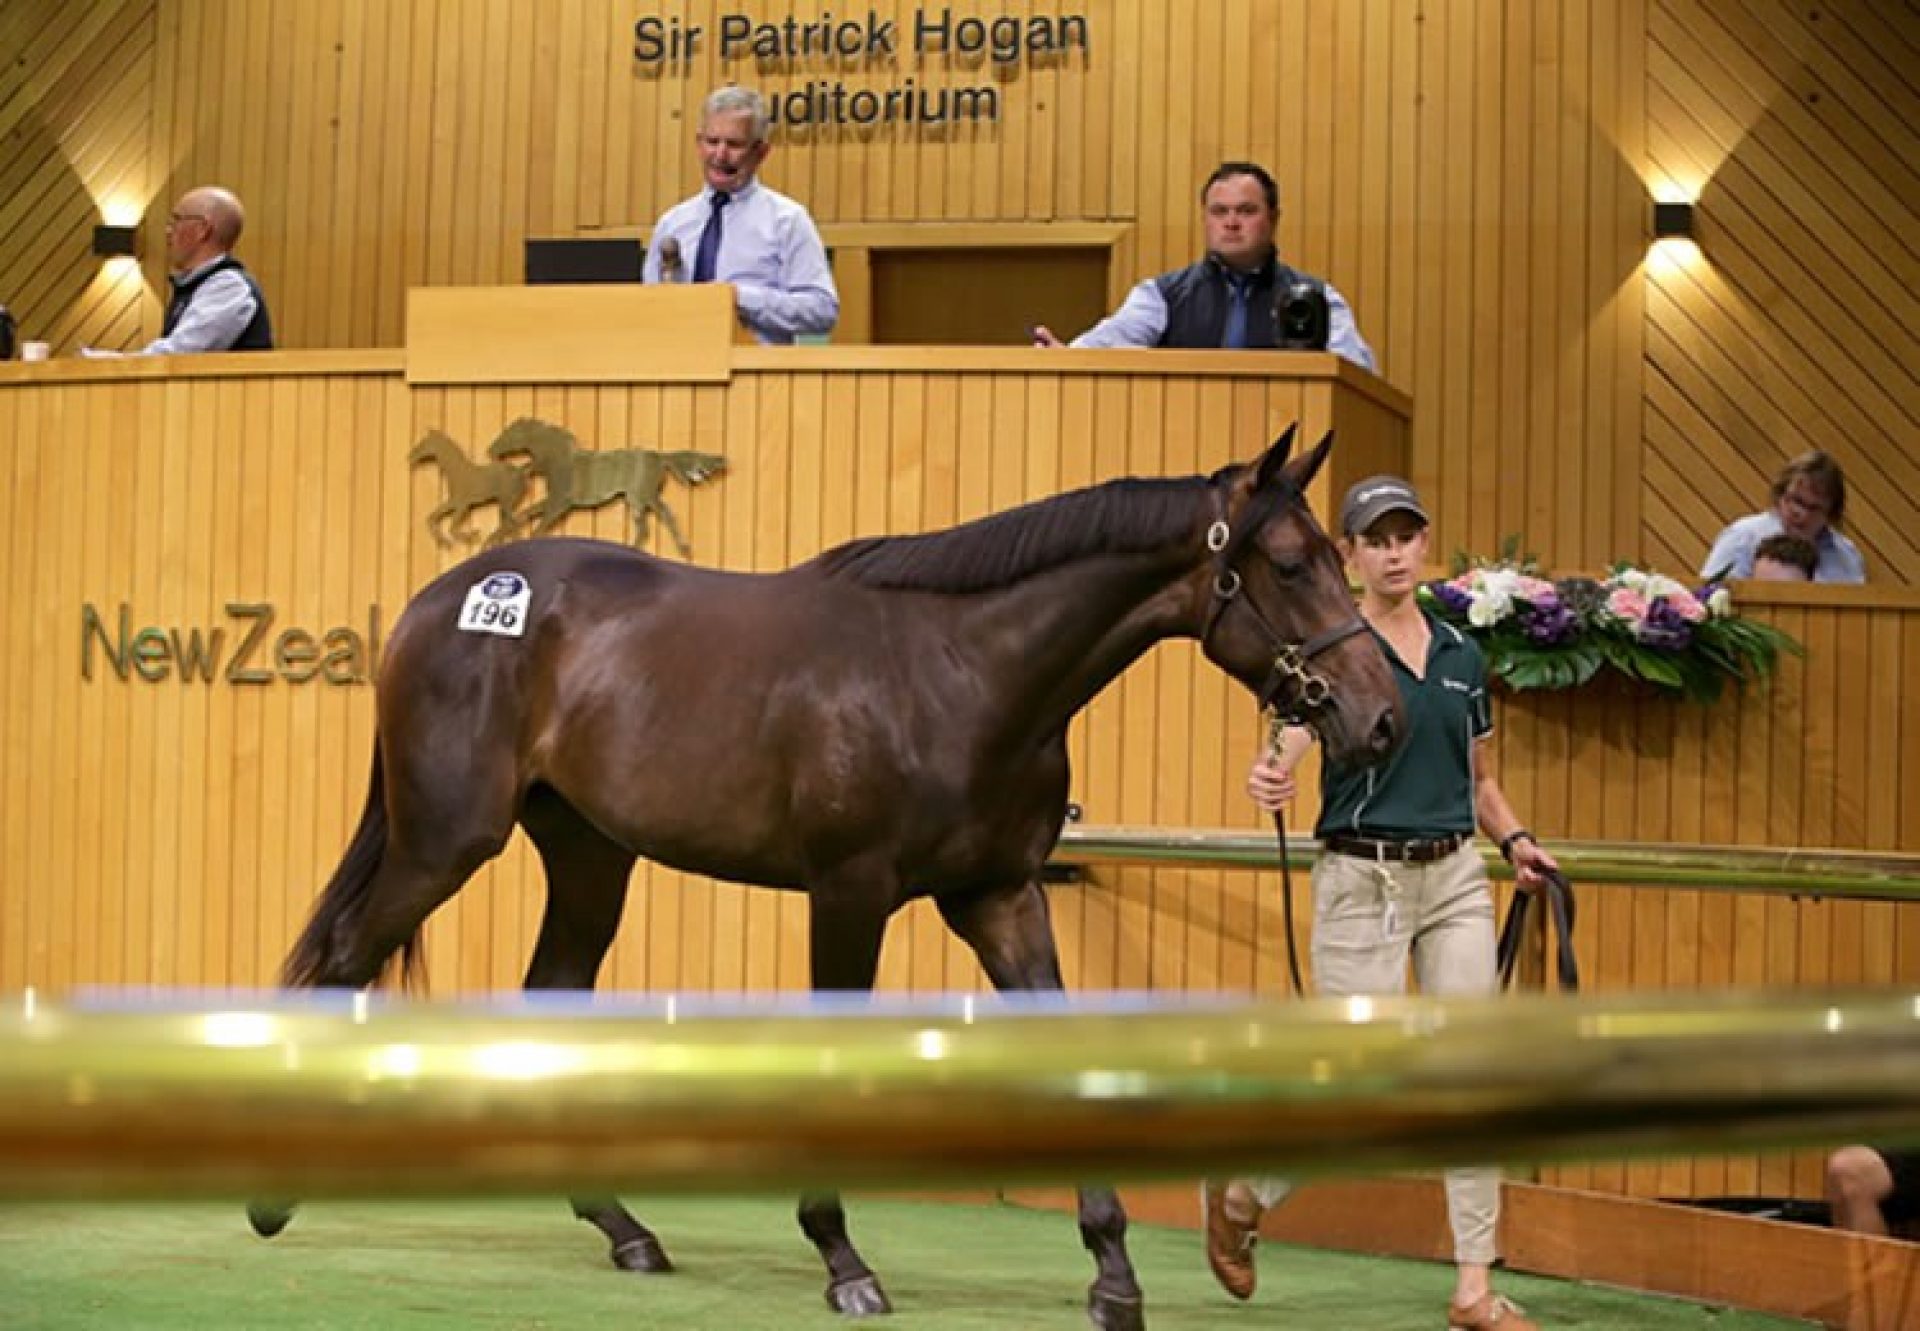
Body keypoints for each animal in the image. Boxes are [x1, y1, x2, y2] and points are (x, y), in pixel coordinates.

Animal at [251, 426, 1397, 1329]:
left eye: (1337, 560)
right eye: (1289, 563)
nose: (1379, 716)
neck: (962, 671)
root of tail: (443, 599)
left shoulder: (1001, 895)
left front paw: (1113, 1275)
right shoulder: (852, 891)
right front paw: (844, 1259)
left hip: (588, 855)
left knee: (545, 996)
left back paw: (625, 1229)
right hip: (446, 841)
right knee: (347, 955)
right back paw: (272, 1198)